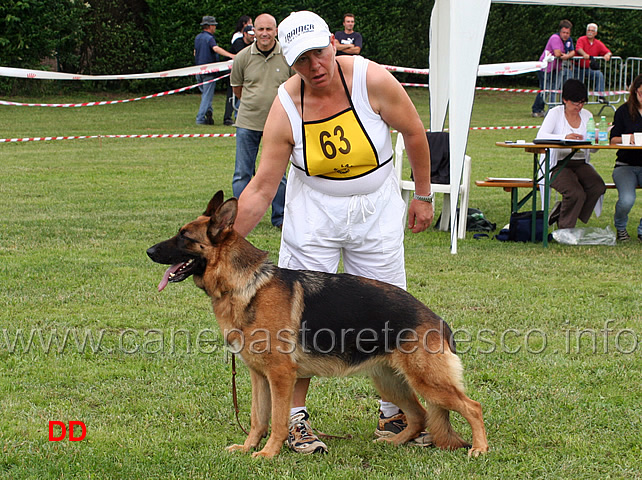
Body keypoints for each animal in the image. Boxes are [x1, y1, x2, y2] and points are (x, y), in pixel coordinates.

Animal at [145, 190, 484, 458]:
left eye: (185, 237)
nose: (148, 251)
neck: (246, 284)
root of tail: (437, 319)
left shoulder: (281, 376)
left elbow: (278, 420)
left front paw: (268, 453)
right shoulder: (258, 376)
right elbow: (257, 418)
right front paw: (248, 447)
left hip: (428, 382)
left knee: (472, 407)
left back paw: (479, 449)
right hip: (390, 382)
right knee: (420, 415)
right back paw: (395, 441)